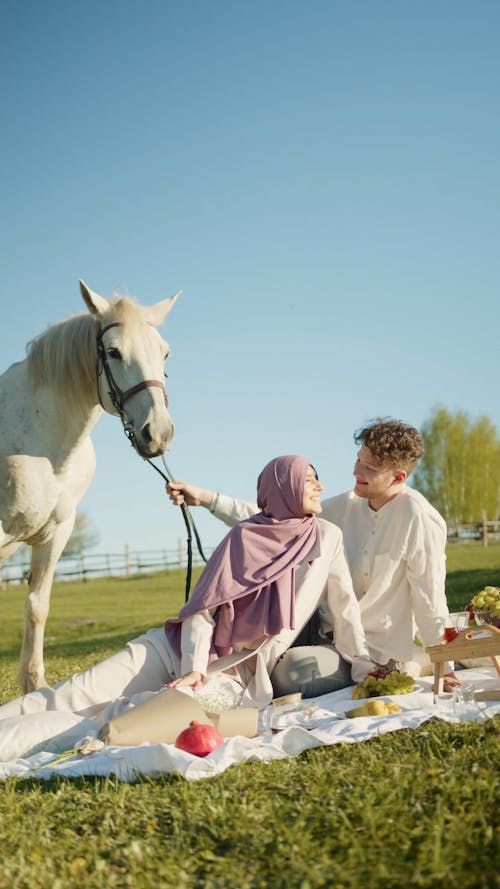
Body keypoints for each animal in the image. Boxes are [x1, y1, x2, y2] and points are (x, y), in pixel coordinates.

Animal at [0, 280, 180, 692]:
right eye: (113, 352)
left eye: (164, 352)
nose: (158, 433)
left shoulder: (56, 533)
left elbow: (37, 606)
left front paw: (34, 686)